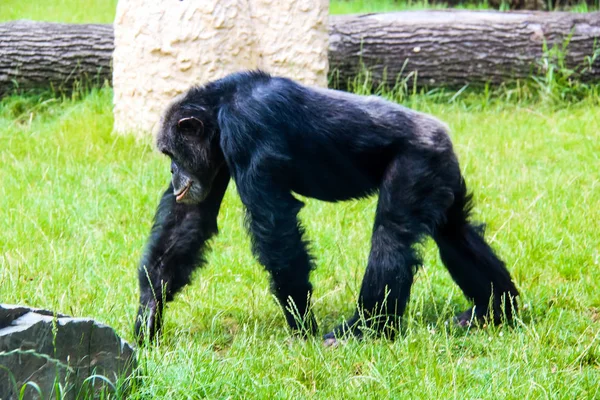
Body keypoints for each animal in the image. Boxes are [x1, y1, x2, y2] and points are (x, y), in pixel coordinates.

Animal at [134, 70, 516, 346]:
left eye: (171, 153)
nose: (173, 172)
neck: (220, 106)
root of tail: (442, 133)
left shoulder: (249, 127)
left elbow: (275, 225)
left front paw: (302, 322)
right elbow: (190, 221)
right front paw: (150, 309)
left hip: (417, 162)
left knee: (392, 236)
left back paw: (362, 329)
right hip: (441, 173)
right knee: (456, 234)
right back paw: (495, 310)